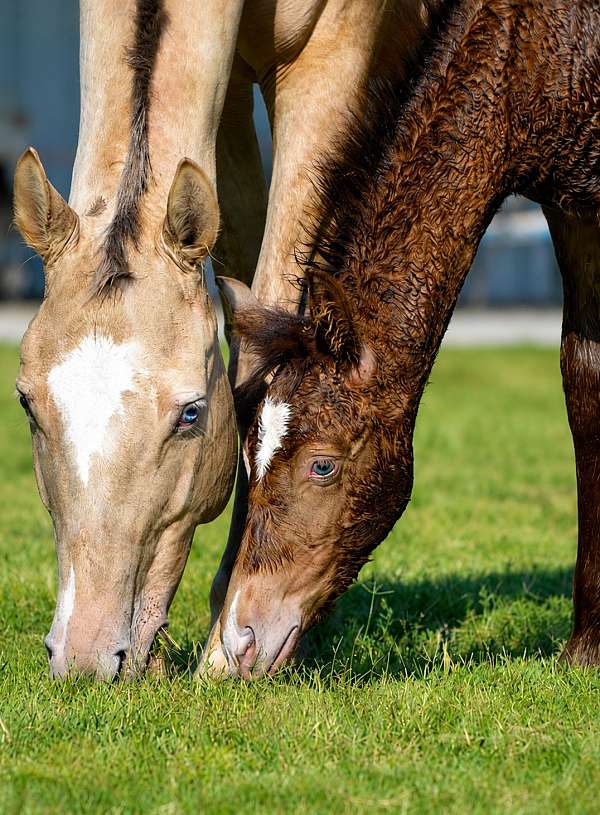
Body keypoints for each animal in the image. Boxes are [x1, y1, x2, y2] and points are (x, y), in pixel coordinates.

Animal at [211, 0, 600, 677]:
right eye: (249, 456)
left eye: (322, 465)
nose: (241, 641)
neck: (535, 55)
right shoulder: (572, 209)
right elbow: (584, 380)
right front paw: (585, 649)